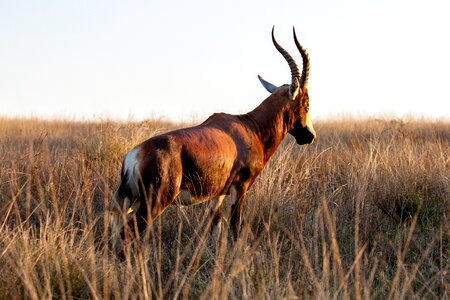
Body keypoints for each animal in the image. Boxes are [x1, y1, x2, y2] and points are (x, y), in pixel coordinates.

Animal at [110, 27, 316, 245]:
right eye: (306, 103)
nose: (310, 136)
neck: (250, 126)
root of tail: (134, 156)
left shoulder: (219, 194)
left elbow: (215, 228)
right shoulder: (240, 187)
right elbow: (234, 225)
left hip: (128, 200)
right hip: (154, 203)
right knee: (126, 233)